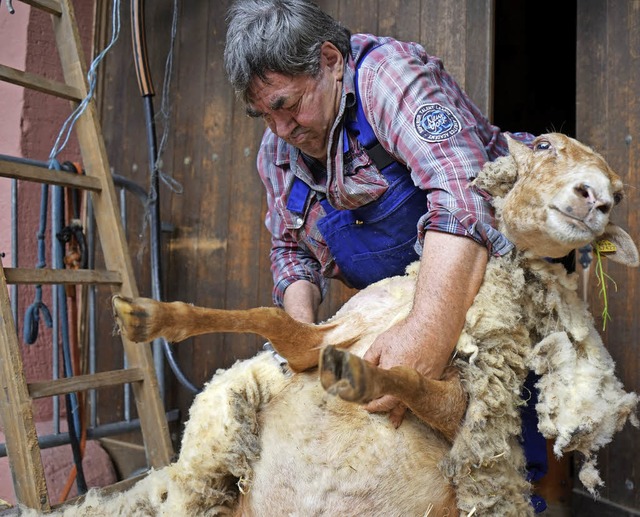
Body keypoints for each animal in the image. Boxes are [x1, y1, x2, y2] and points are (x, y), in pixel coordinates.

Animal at [27, 134, 640, 516]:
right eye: (543, 144)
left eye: (620, 191)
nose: (597, 198)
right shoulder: (317, 340)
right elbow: (269, 316)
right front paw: (149, 314)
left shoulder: (458, 410)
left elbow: (408, 377)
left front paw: (360, 373)